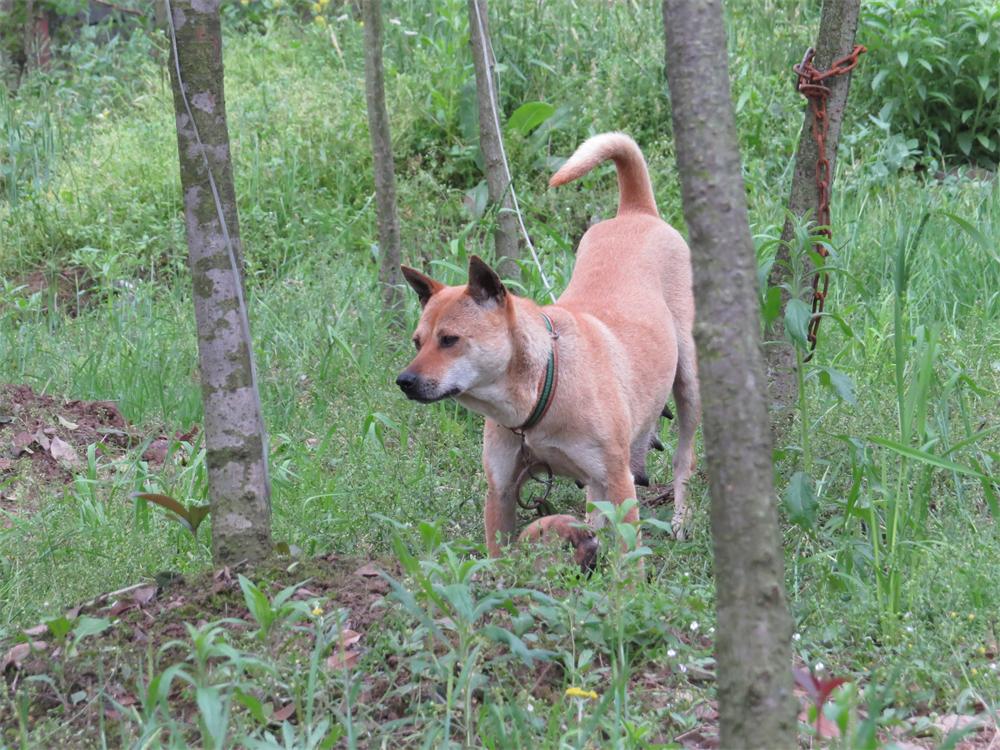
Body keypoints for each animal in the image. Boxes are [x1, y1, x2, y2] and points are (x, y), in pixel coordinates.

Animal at [394, 132, 700, 568]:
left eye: (450, 340)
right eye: (418, 342)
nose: (404, 381)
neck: (543, 387)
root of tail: (635, 211)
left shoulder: (619, 481)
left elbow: (630, 560)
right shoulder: (502, 492)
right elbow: (500, 561)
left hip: (688, 382)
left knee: (683, 458)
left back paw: (678, 521)